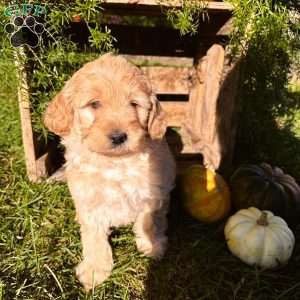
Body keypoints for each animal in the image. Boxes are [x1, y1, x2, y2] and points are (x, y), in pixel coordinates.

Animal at [44, 53, 176, 290]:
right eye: (94, 104)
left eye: (134, 104)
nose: (118, 137)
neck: (115, 163)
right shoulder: (89, 199)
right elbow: (94, 236)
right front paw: (95, 269)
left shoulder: (152, 192)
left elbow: (149, 221)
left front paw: (152, 245)